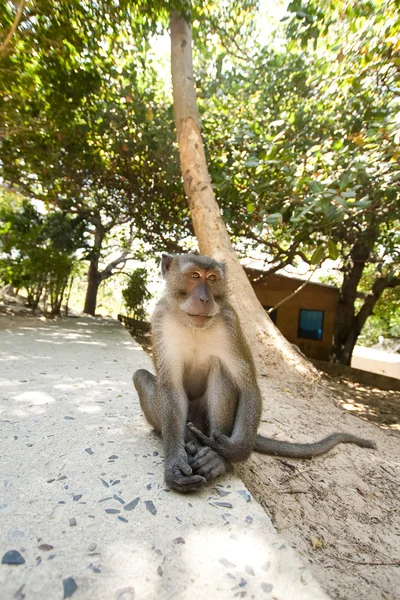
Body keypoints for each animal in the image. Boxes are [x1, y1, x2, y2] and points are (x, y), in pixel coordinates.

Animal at [133, 253, 376, 492]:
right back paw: (187, 440)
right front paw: (175, 463)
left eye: (212, 279)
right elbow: (170, 388)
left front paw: (232, 451)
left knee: (221, 370)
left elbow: (247, 385)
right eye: (194, 276)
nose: (204, 299)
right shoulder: (161, 319)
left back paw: (216, 458)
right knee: (140, 376)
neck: (193, 325)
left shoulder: (230, 321)